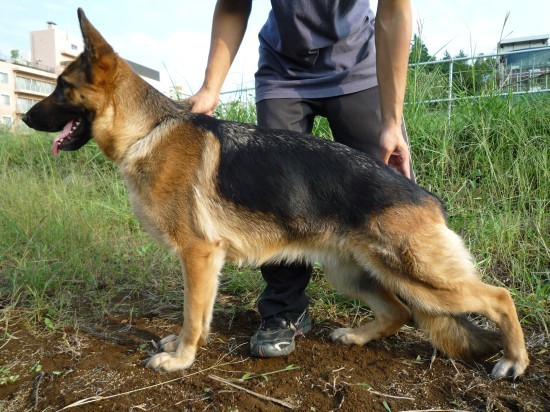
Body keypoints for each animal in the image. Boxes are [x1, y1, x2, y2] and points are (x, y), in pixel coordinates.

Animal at [22, 9, 532, 378]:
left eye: (61, 88)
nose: (24, 118)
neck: (147, 131)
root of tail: (426, 197)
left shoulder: (199, 255)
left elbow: (193, 315)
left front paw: (181, 358)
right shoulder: (203, 261)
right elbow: (195, 315)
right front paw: (179, 348)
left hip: (419, 276)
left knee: (498, 297)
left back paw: (515, 361)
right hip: (356, 274)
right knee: (399, 312)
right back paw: (357, 336)